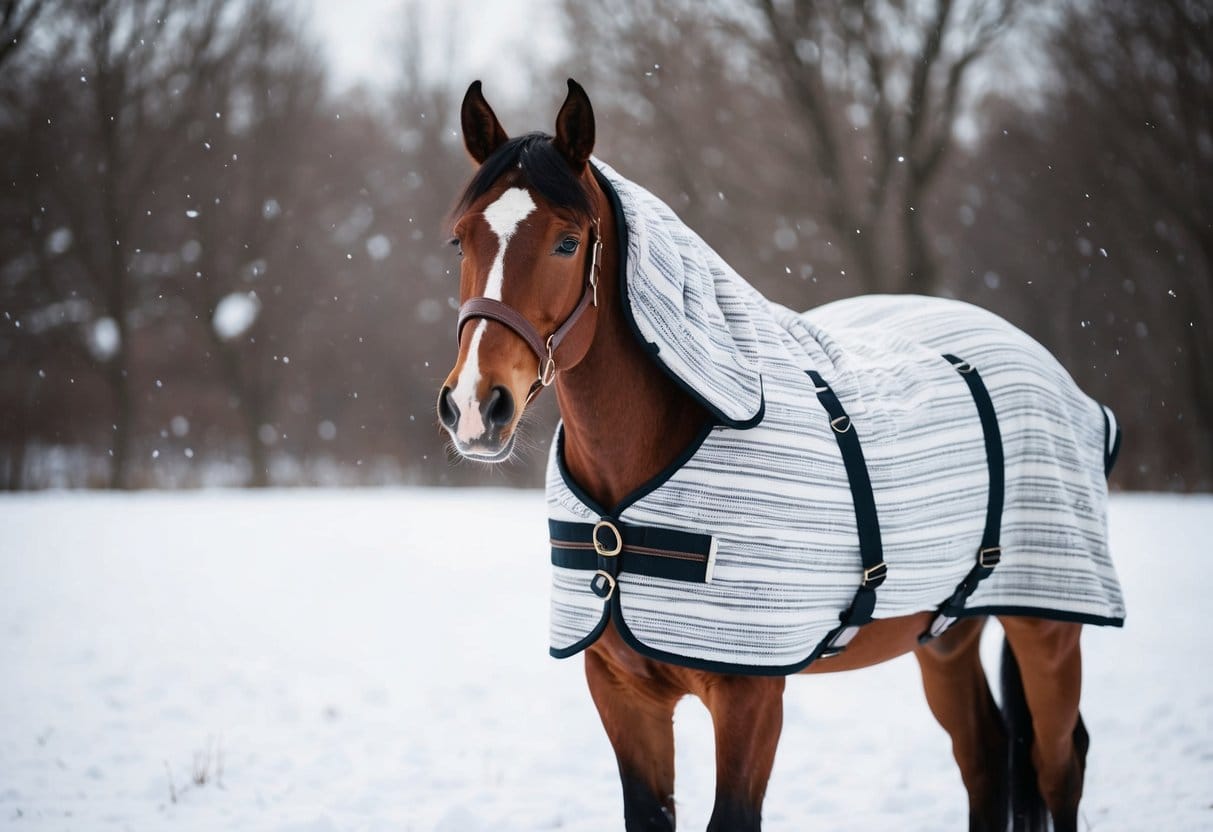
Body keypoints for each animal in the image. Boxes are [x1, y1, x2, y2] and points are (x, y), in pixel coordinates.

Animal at [439, 80, 1115, 832]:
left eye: (567, 241)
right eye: (461, 238)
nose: (476, 406)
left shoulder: (750, 700)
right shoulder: (622, 693)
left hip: (1046, 627)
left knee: (1058, 766)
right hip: (945, 635)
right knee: (986, 757)